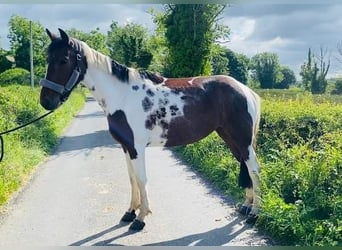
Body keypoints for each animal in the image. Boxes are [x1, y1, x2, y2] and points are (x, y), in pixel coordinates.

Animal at [39, 28, 262, 230]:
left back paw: (254, 215)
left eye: (63, 60)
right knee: (245, 167)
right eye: (48, 59)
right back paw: (245, 206)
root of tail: (245, 90)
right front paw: (130, 212)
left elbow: (141, 179)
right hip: (230, 138)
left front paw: (141, 218)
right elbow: (132, 179)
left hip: (242, 140)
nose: (46, 101)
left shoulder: (137, 148)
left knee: (254, 170)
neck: (122, 95)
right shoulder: (126, 147)